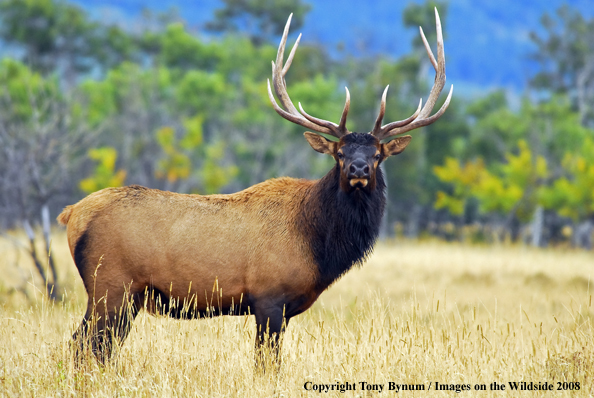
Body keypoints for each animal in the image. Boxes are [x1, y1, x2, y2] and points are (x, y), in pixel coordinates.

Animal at [59, 10, 448, 366]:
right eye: (339, 153)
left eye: (378, 154)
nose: (358, 169)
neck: (318, 245)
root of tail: (72, 214)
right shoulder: (269, 297)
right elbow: (266, 364)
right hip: (110, 285)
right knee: (85, 345)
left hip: (123, 296)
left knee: (93, 346)